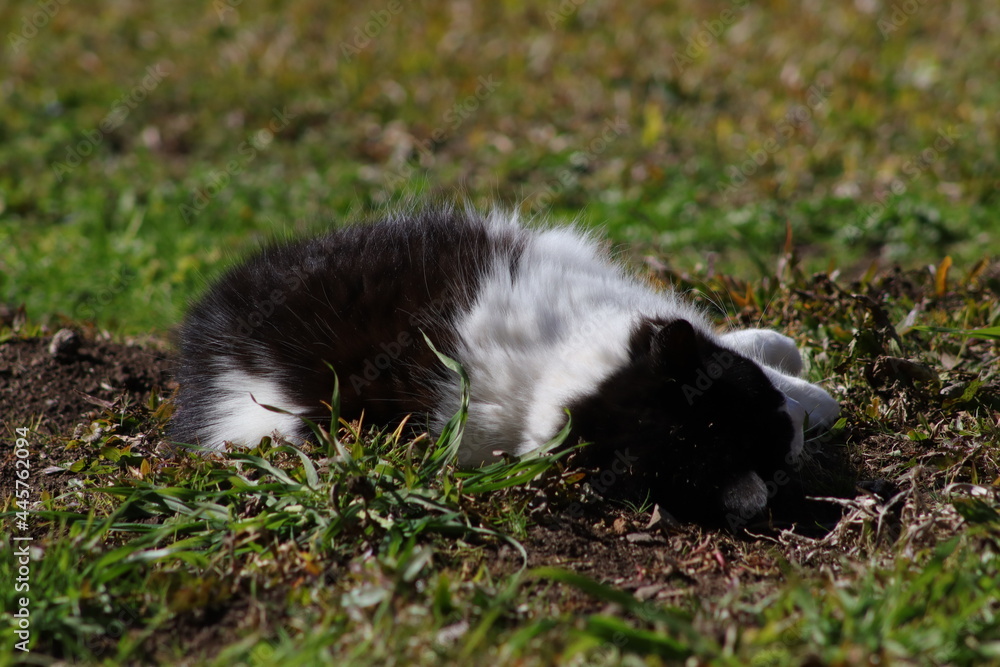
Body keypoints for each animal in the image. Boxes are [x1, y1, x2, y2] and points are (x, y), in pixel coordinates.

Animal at [168, 206, 840, 524]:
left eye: (750, 404)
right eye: (708, 475)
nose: (794, 439)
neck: (541, 377)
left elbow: (759, 346)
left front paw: (793, 366)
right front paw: (821, 401)